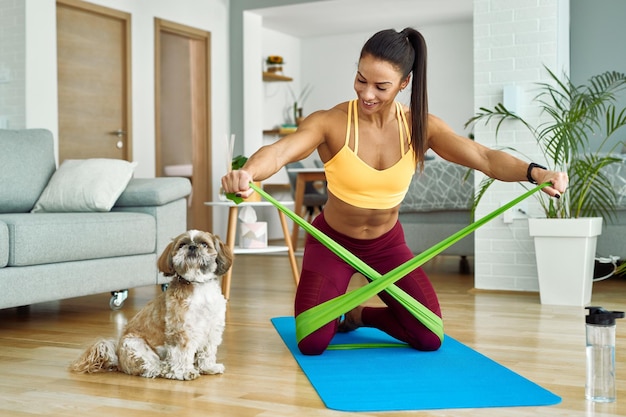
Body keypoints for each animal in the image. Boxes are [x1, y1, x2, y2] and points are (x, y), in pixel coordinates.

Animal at [68, 229, 233, 378]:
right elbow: (182, 353)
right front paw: (185, 372)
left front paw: (208, 367)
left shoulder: (212, 329)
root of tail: (118, 359)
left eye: (204, 244)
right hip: (135, 345)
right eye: (182, 245)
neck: (198, 284)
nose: (192, 247)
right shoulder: (181, 331)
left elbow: (207, 351)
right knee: (148, 367)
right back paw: (164, 370)